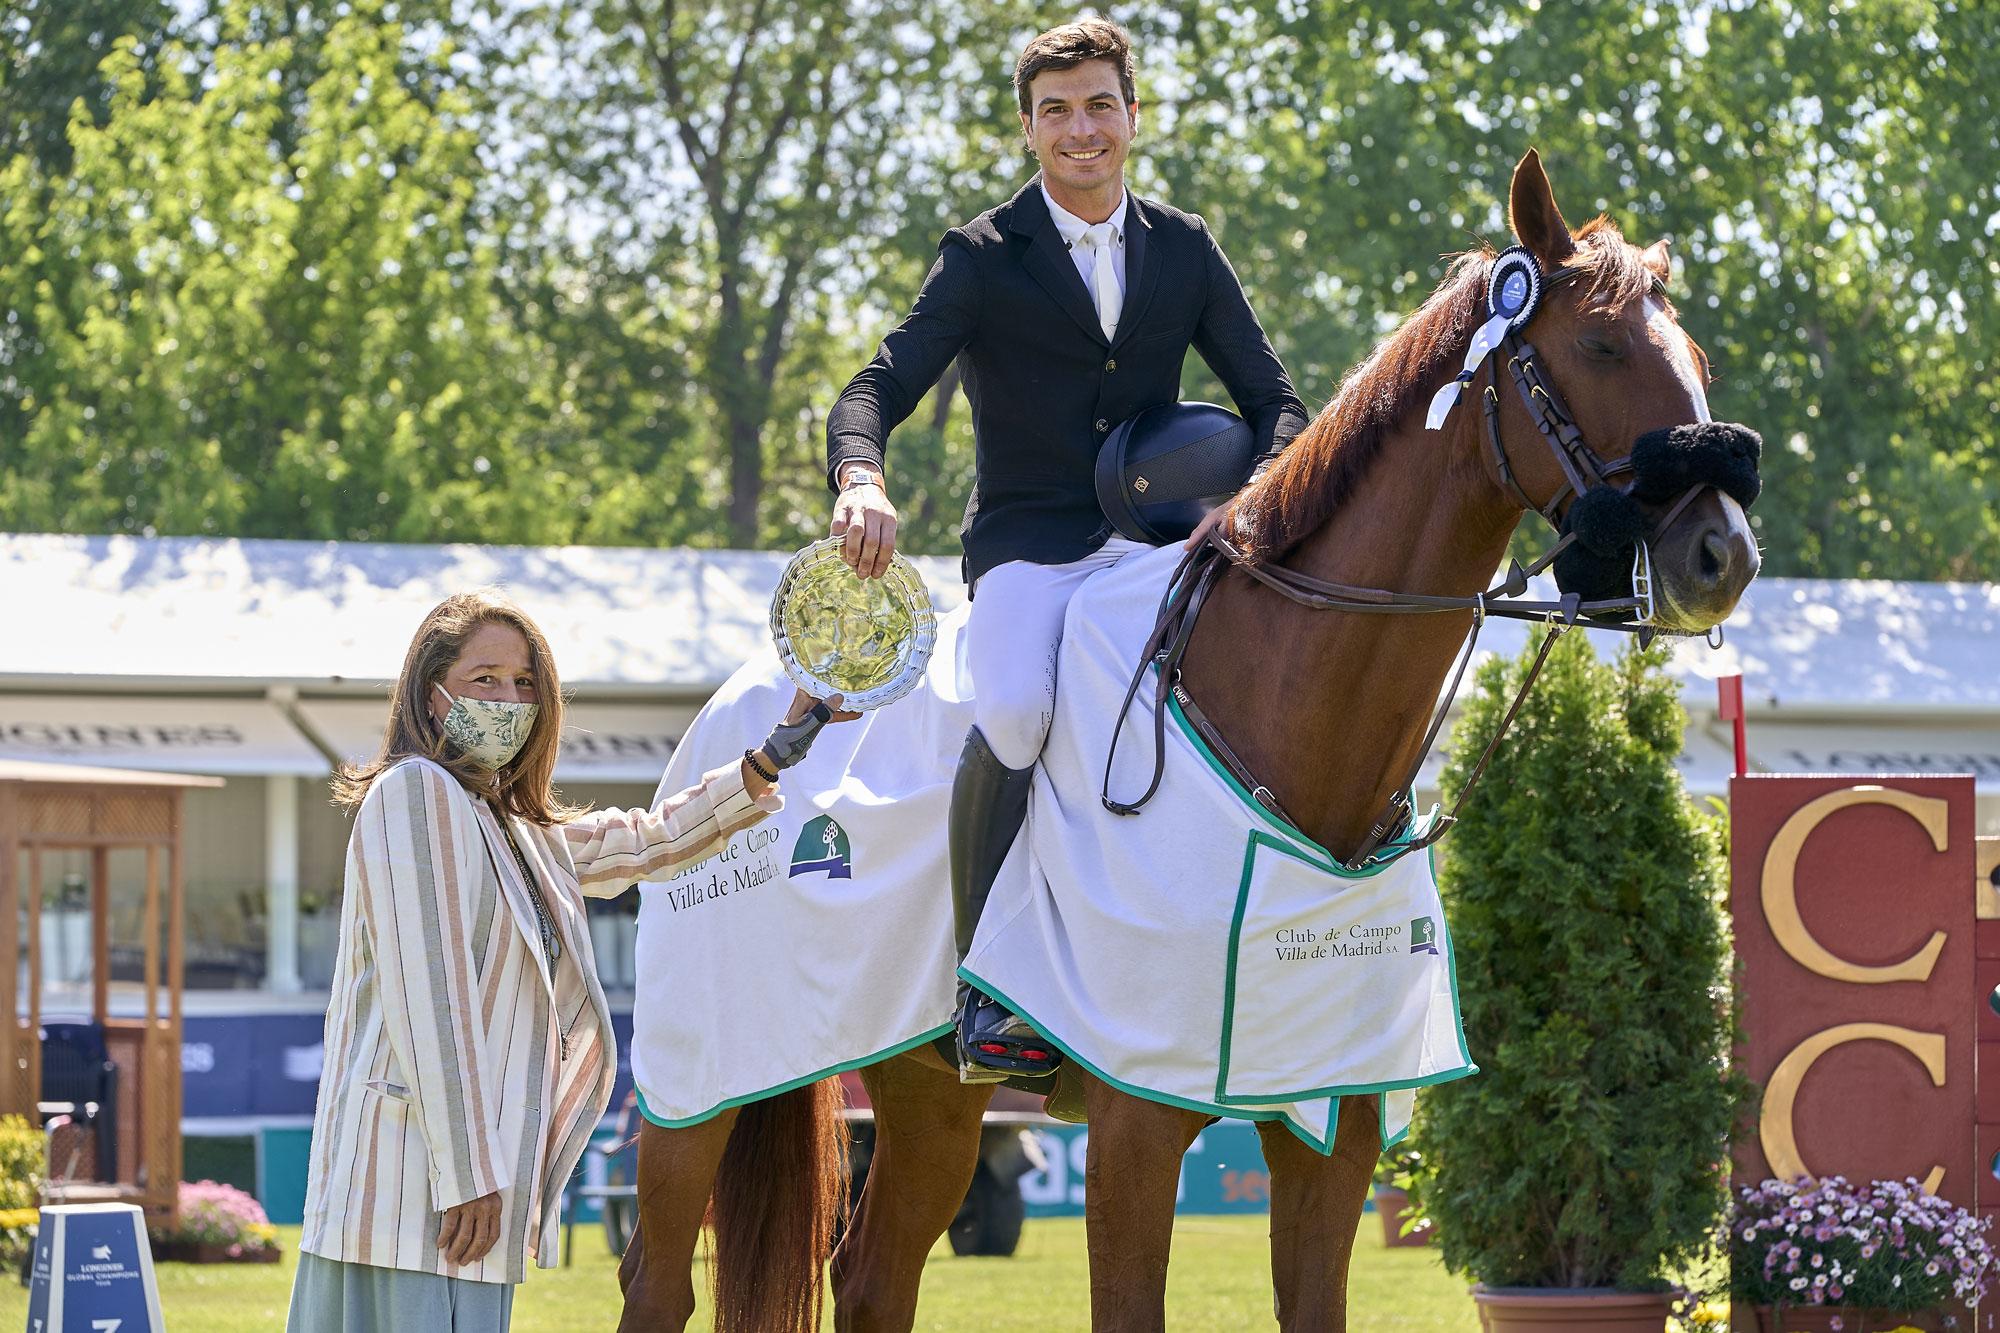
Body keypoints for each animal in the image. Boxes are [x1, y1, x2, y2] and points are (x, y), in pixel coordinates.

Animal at [608, 150, 1752, 1320]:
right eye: (1601, 345)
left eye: (1695, 357)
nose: (1723, 556)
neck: (1281, 712)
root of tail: (742, 724)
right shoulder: (1133, 1132)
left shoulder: (1331, 1130)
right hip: (695, 1094)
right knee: (659, 1278)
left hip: (926, 1092)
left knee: (873, 1278)